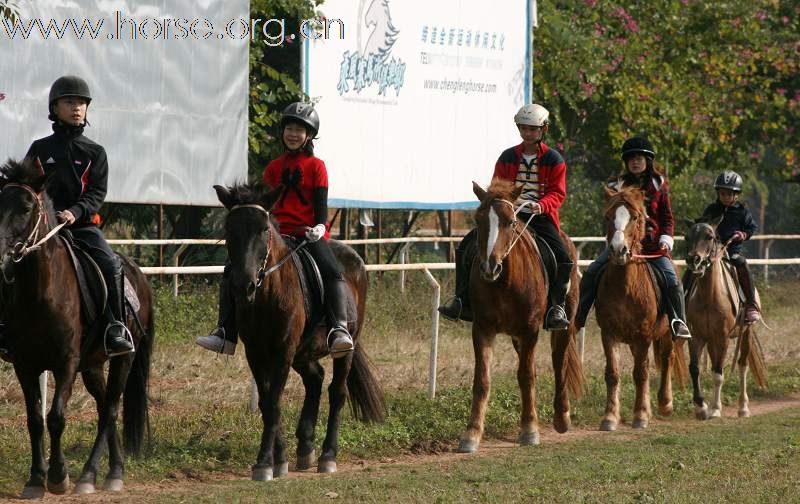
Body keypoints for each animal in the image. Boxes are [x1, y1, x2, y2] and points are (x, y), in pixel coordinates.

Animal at [0, 159, 153, 498]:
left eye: (27, 206)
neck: (40, 292)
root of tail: (136, 272)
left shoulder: (66, 362)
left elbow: (56, 417)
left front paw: (58, 477)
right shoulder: (25, 365)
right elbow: (35, 419)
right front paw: (35, 479)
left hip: (123, 358)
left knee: (110, 410)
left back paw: (91, 476)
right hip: (92, 365)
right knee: (104, 406)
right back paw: (113, 470)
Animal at [216, 182, 384, 480]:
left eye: (264, 229)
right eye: (229, 229)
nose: (243, 286)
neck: (267, 295)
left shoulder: (283, 351)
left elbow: (273, 402)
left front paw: (264, 463)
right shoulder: (255, 353)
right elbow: (267, 404)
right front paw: (278, 459)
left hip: (343, 348)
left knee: (337, 392)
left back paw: (328, 455)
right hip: (303, 352)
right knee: (315, 379)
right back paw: (306, 447)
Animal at [460, 178, 584, 452]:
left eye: (510, 222)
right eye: (478, 219)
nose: (490, 266)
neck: (504, 282)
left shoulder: (530, 330)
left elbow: (526, 377)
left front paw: (529, 429)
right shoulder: (482, 329)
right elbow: (482, 380)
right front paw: (471, 434)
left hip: (564, 323)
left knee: (559, 361)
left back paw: (562, 416)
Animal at [592, 187, 688, 432]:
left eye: (635, 217)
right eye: (608, 217)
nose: (619, 250)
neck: (626, 288)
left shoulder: (644, 335)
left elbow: (641, 373)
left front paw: (640, 415)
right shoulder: (609, 334)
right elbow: (613, 374)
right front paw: (610, 417)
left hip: (666, 334)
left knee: (667, 359)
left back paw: (664, 403)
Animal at [680, 219, 768, 420]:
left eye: (710, 236)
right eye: (687, 237)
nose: (694, 260)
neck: (709, 297)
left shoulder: (723, 337)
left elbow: (719, 374)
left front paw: (714, 409)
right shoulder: (696, 336)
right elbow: (695, 369)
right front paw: (701, 407)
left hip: (745, 333)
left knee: (742, 366)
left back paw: (743, 408)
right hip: (712, 341)